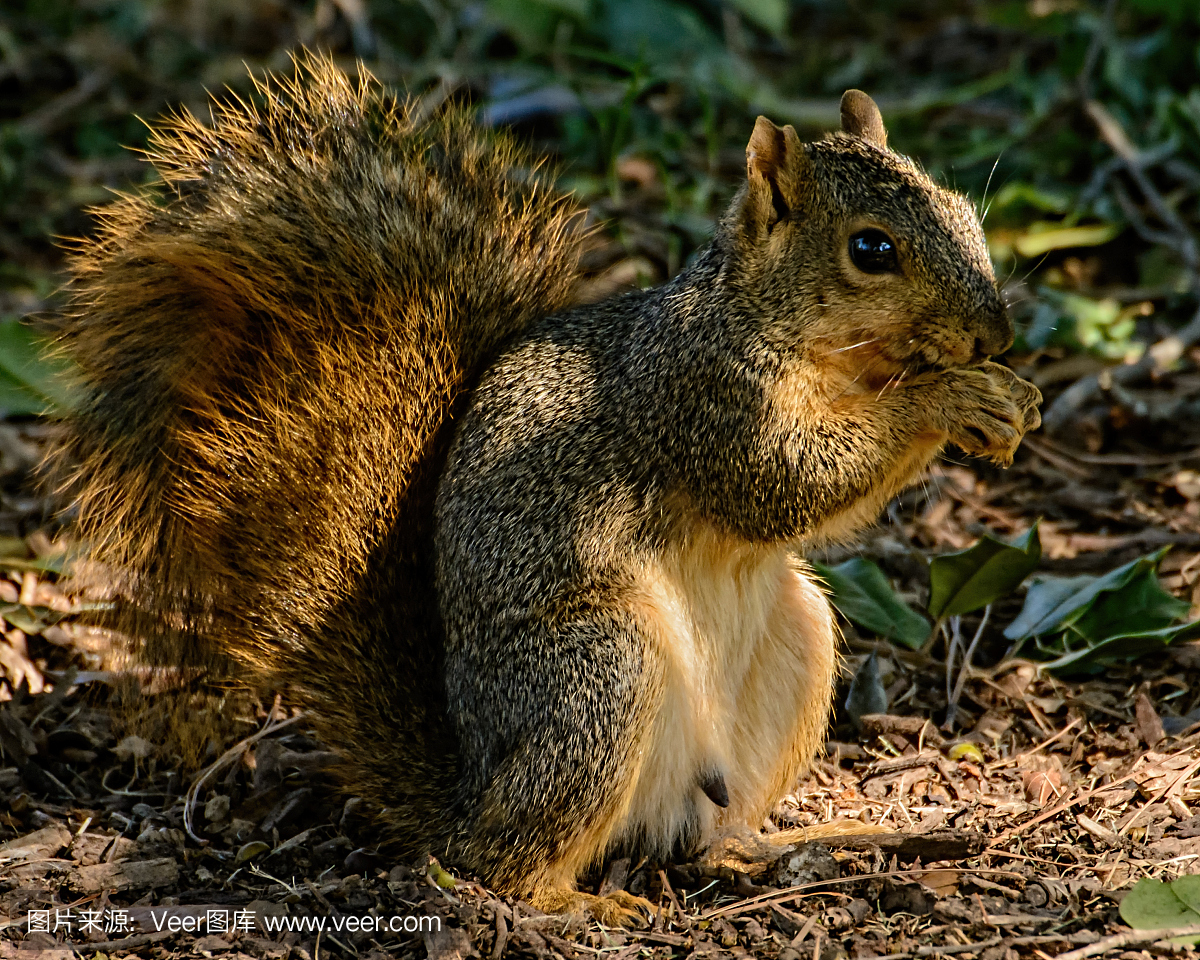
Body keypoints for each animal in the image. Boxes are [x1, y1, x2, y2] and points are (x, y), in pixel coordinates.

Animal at [46, 54, 1041, 921]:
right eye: (871, 249)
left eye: (963, 211)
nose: (995, 334)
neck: (800, 339)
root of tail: (469, 788)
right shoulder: (700, 395)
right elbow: (783, 484)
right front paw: (952, 396)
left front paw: (1008, 399)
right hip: (595, 673)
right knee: (499, 864)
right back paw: (576, 903)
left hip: (797, 639)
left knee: (706, 841)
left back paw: (810, 839)